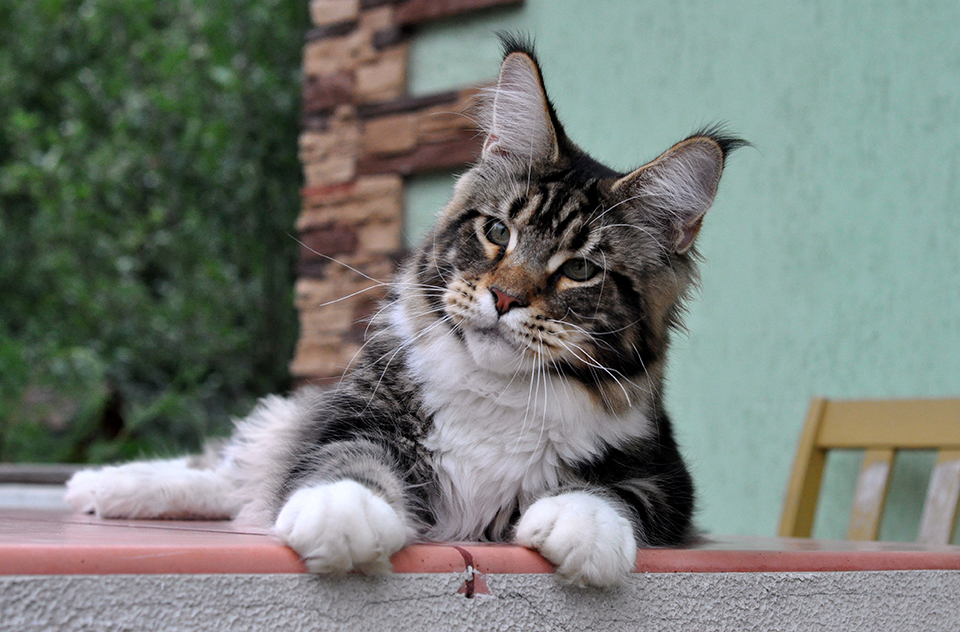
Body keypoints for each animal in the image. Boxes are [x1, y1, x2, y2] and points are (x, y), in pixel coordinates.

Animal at [65, 34, 744, 588]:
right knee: (235, 463)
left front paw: (583, 530)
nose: (504, 298)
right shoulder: (353, 416)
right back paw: (102, 485)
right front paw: (345, 516)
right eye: (498, 232)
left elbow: (614, 495)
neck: (494, 398)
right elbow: (344, 461)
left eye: (579, 270)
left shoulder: (666, 477)